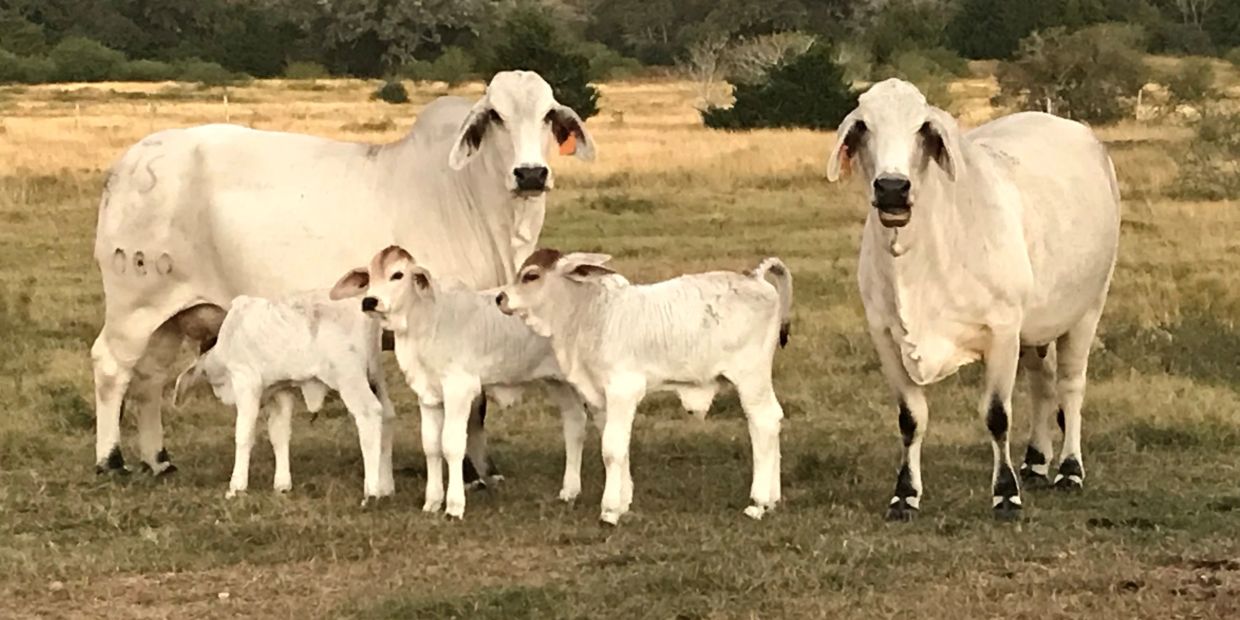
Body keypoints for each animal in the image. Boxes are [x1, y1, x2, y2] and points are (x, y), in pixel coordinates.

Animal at [90, 70, 595, 476]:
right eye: (495, 116)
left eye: (549, 115)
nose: (530, 173)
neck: (475, 197)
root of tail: (127, 164)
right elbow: (468, 406)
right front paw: (471, 473)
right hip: (134, 305)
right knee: (111, 366)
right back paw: (111, 460)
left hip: (169, 316)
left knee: (149, 379)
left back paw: (158, 459)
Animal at [826, 79, 1121, 520]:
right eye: (863, 126)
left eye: (922, 128)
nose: (892, 188)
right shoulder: (886, 337)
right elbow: (911, 418)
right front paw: (905, 494)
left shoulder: (1001, 331)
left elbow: (997, 416)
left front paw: (1005, 494)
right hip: (1035, 327)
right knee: (1042, 383)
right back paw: (1036, 461)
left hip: (1087, 307)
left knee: (1070, 386)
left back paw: (1069, 469)